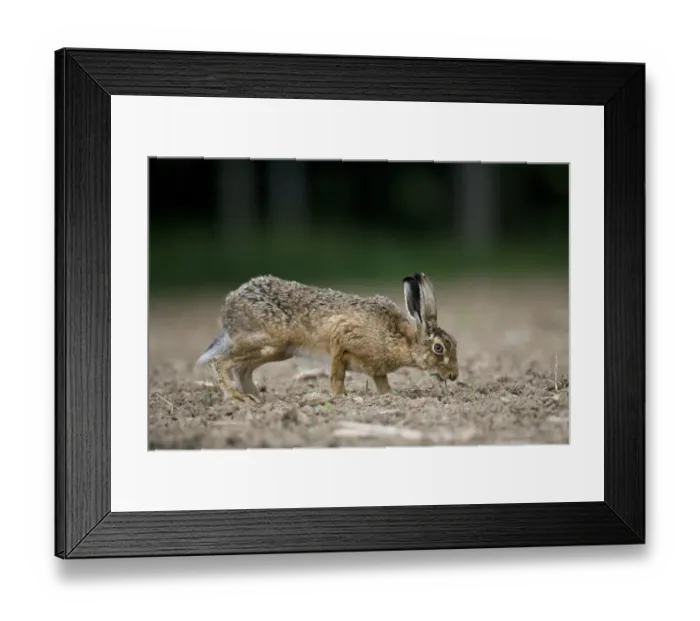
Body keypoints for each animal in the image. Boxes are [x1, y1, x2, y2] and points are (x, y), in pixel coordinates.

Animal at [196, 273, 459, 402]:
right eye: (438, 348)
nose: (454, 376)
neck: (400, 338)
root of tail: (229, 306)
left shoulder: (377, 369)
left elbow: (382, 383)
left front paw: (389, 397)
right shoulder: (341, 342)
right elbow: (337, 375)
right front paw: (341, 398)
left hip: (277, 350)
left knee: (242, 369)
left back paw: (258, 398)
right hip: (270, 341)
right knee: (219, 361)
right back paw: (237, 397)